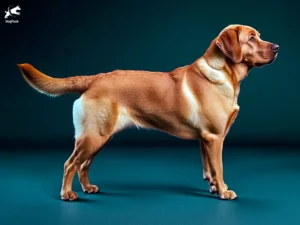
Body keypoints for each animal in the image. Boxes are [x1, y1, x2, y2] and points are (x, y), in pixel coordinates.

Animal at [17, 24, 278, 200]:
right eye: (251, 38)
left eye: (259, 36)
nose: (277, 47)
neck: (224, 72)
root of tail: (95, 78)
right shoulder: (215, 137)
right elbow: (219, 168)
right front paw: (224, 191)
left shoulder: (205, 139)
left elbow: (209, 168)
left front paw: (214, 187)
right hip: (93, 137)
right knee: (70, 164)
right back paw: (67, 194)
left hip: (99, 137)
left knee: (83, 165)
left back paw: (88, 188)